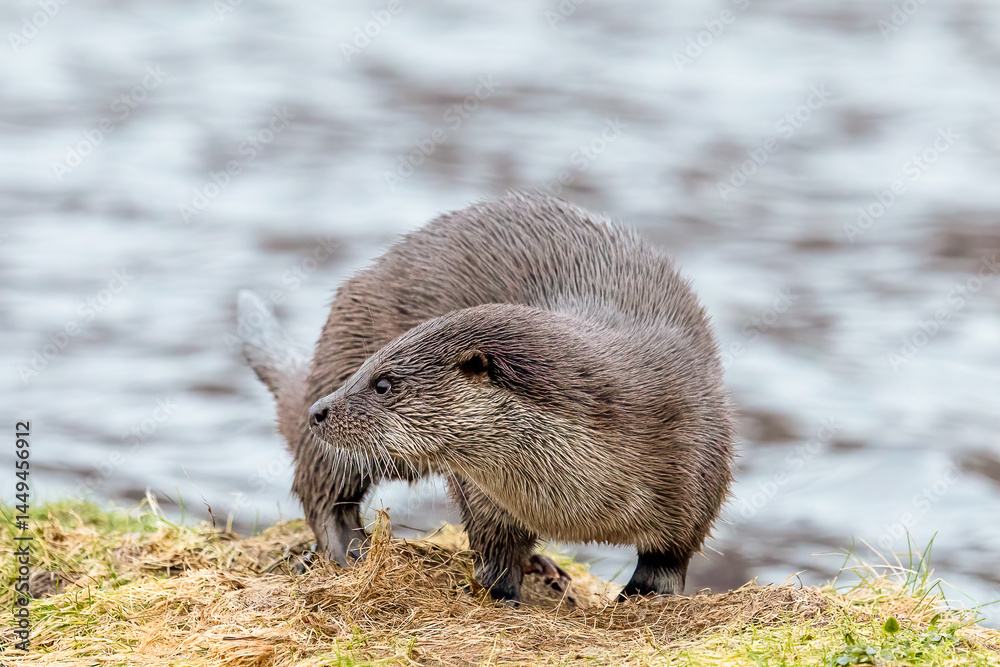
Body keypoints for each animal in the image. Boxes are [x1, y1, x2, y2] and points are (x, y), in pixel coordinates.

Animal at [241, 191, 735, 604]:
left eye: (383, 383)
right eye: (364, 369)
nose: (318, 411)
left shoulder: (700, 464)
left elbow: (669, 557)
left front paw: (646, 595)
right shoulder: (485, 495)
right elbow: (494, 547)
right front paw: (502, 594)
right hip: (345, 346)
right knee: (323, 485)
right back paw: (350, 548)